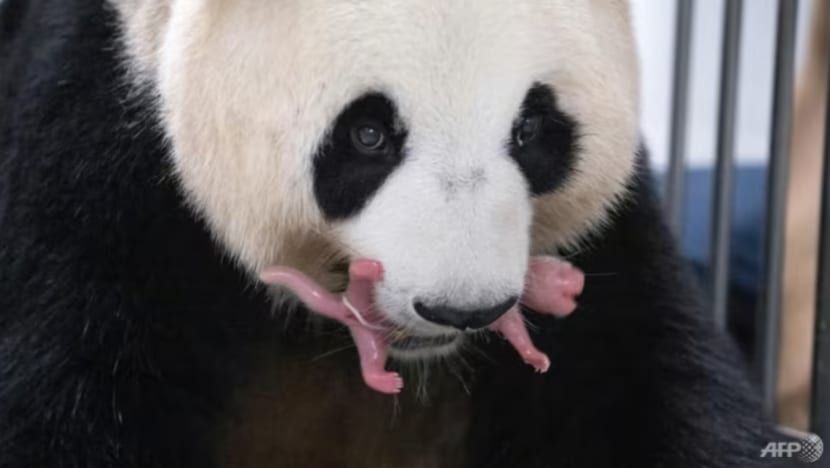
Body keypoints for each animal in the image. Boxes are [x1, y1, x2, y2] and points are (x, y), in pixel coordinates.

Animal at [0, 0, 787, 467]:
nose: (463, 309)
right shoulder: (97, 177)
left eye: (533, 129)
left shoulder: (606, 254)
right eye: (369, 134)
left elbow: (657, 387)